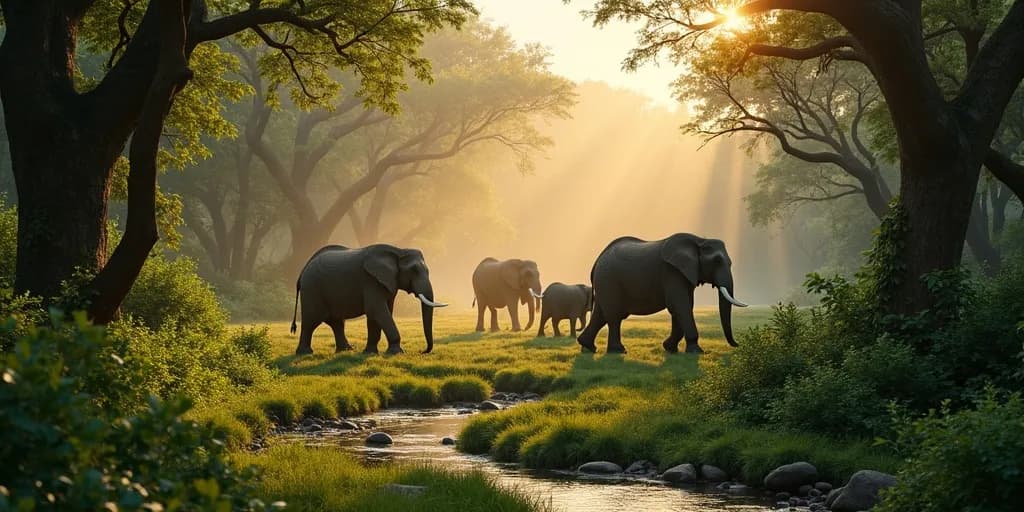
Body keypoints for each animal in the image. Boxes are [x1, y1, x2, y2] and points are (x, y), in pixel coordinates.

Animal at [290, 244, 447, 355]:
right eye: (414, 270)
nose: (422, 351)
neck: (398, 251)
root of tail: (302, 271)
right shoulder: (371, 280)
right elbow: (376, 310)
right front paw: (396, 353)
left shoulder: (386, 283)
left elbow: (379, 314)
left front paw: (370, 353)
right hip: (312, 290)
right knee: (311, 322)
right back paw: (304, 353)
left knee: (337, 323)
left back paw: (347, 350)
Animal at [576, 233, 748, 354]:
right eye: (717, 261)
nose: (737, 344)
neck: (699, 240)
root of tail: (597, 260)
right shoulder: (672, 272)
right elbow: (680, 306)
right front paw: (696, 352)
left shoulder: (684, 274)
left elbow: (683, 306)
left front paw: (670, 349)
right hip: (609, 280)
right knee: (614, 316)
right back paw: (618, 351)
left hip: (605, 282)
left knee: (601, 315)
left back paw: (588, 347)